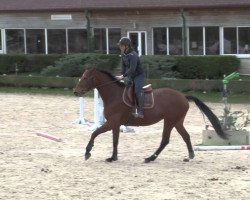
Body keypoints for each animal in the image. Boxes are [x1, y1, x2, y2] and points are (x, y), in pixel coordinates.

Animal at [73, 67, 228, 162]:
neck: (114, 95)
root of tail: (183, 96)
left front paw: (87, 152)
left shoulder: (112, 122)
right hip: (177, 122)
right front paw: (113, 157)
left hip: (170, 121)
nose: (75, 92)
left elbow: (95, 133)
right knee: (186, 136)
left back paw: (150, 158)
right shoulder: (115, 124)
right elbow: (115, 140)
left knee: (165, 140)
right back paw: (189, 156)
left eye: (85, 78)